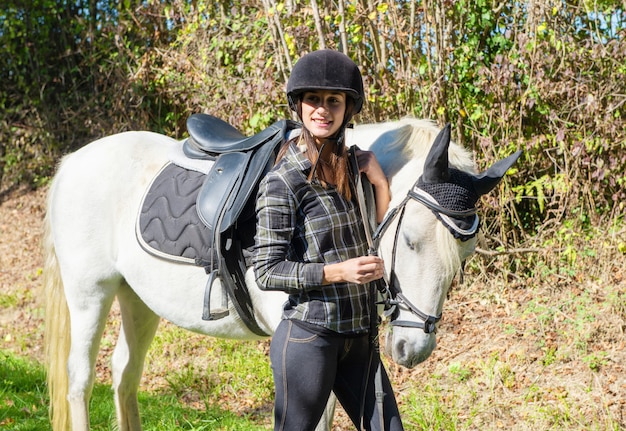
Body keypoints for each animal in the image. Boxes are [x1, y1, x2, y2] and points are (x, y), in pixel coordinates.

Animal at [44, 116, 520, 430]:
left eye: (464, 256)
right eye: (410, 241)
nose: (414, 349)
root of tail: (72, 162)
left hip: (138, 300)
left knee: (124, 375)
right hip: (90, 295)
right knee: (80, 380)